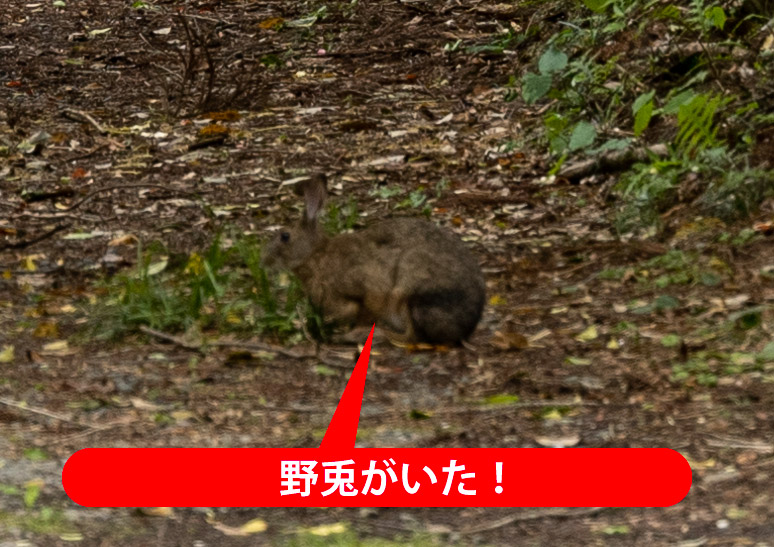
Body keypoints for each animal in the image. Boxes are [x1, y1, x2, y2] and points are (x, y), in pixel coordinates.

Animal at [264, 176, 488, 344]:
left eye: (285, 236)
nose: (264, 261)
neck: (315, 254)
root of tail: (466, 327)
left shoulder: (366, 291)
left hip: (407, 293)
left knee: (410, 337)